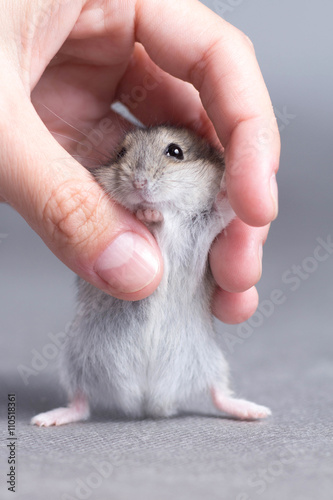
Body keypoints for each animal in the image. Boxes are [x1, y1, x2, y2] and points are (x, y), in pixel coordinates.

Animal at [30, 125, 270, 426]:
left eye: (175, 151)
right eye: (121, 153)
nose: (139, 183)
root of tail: (148, 401)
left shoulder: (211, 218)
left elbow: (223, 204)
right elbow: (144, 217)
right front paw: (147, 213)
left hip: (212, 361)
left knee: (218, 393)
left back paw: (256, 412)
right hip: (75, 360)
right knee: (80, 401)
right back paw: (46, 419)